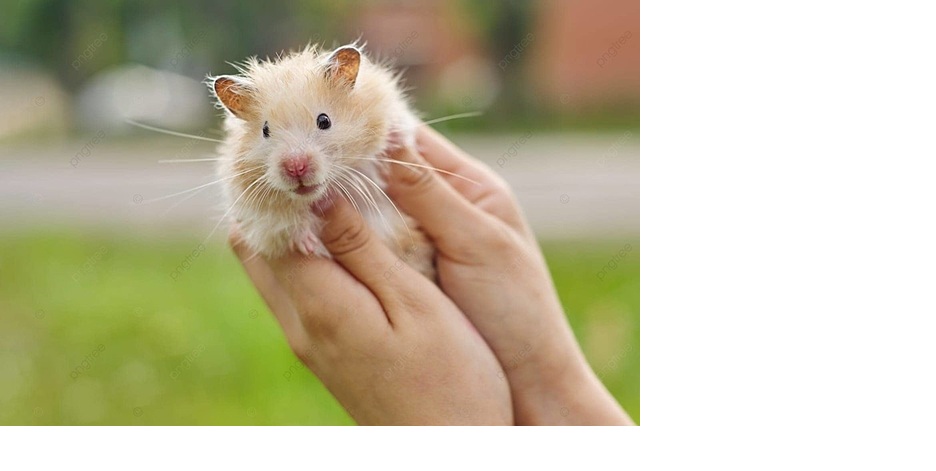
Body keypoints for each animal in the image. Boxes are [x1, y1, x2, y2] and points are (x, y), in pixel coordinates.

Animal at [209, 43, 435, 280]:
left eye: (324, 120)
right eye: (265, 130)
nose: (295, 167)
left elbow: (400, 125)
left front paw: (393, 137)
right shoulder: (253, 213)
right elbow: (279, 225)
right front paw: (308, 244)